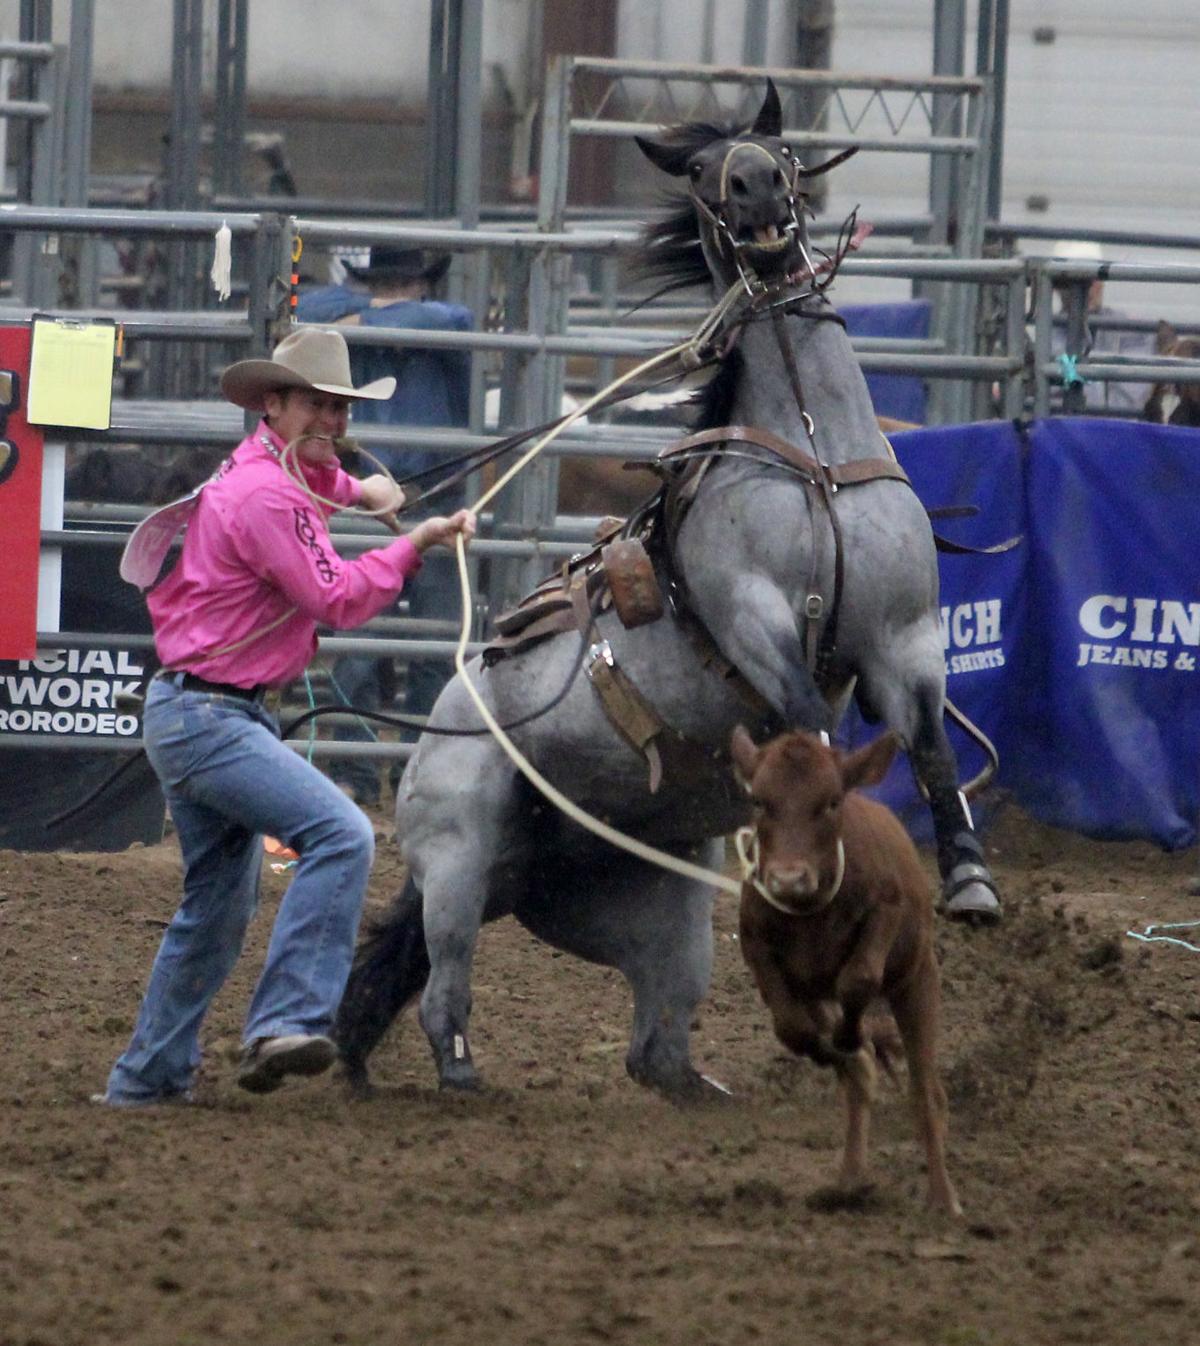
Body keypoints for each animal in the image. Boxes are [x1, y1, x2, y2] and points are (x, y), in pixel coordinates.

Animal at [337, 78, 1000, 1098]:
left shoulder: (906, 635)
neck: (810, 449)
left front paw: (967, 880)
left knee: (656, 1045)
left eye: (780, 149)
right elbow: (808, 719)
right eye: (700, 170)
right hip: (458, 854)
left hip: (642, 904)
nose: (759, 187)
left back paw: (702, 1090)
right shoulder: (755, 620)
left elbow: (928, 747)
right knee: (446, 984)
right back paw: (460, 1077)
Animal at [726, 726, 963, 1222]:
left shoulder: (886, 913)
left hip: (918, 979)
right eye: (759, 800)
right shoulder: (758, 949)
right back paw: (851, 1180)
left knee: (926, 1094)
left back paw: (942, 1197)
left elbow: (859, 980)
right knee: (856, 1081)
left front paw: (852, 1037)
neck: (810, 911)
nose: (788, 879)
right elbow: (792, 1028)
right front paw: (837, 1047)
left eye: (832, 801)